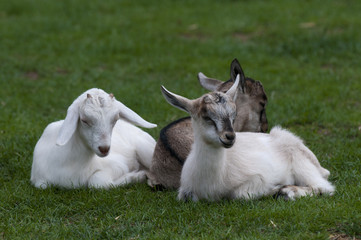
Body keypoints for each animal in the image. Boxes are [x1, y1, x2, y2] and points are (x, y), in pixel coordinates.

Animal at [159, 75, 334, 201]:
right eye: (207, 117)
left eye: (234, 115)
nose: (230, 137)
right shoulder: (185, 192)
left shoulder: (257, 178)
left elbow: (241, 195)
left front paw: (276, 189)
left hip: (302, 164)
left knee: (324, 187)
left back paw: (287, 191)